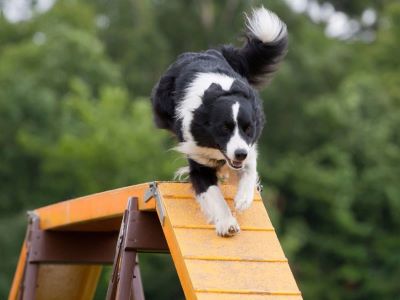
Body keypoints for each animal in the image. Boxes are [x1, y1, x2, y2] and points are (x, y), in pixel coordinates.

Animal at [151, 5, 288, 237]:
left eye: (248, 128)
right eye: (224, 128)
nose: (239, 154)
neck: (223, 91)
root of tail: (204, 52)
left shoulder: (249, 146)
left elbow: (249, 167)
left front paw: (243, 199)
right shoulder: (197, 153)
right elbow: (212, 192)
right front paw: (227, 223)